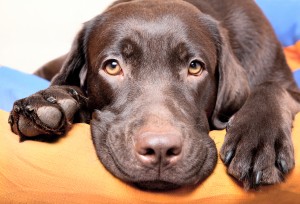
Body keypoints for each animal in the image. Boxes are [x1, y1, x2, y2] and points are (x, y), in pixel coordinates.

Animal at [8, 0, 300, 190]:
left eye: (195, 67)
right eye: (112, 66)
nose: (160, 149)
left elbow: (270, 88)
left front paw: (259, 141)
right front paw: (48, 100)